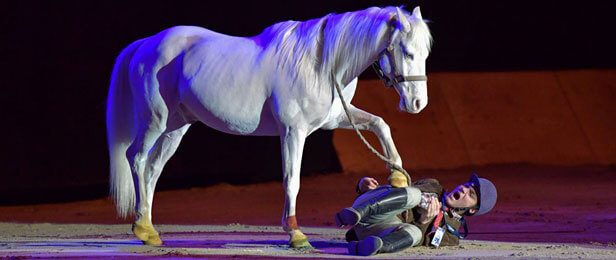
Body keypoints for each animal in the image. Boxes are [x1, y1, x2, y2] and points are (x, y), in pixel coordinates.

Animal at [107, 5, 434, 247]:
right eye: (407, 52)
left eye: (425, 53)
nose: (418, 103)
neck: (321, 64)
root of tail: (146, 44)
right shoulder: (293, 132)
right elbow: (292, 180)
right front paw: (295, 234)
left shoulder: (335, 120)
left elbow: (381, 124)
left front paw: (397, 177)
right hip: (155, 120)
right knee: (137, 159)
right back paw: (141, 227)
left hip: (175, 126)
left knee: (152, 169)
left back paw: (149, 230)